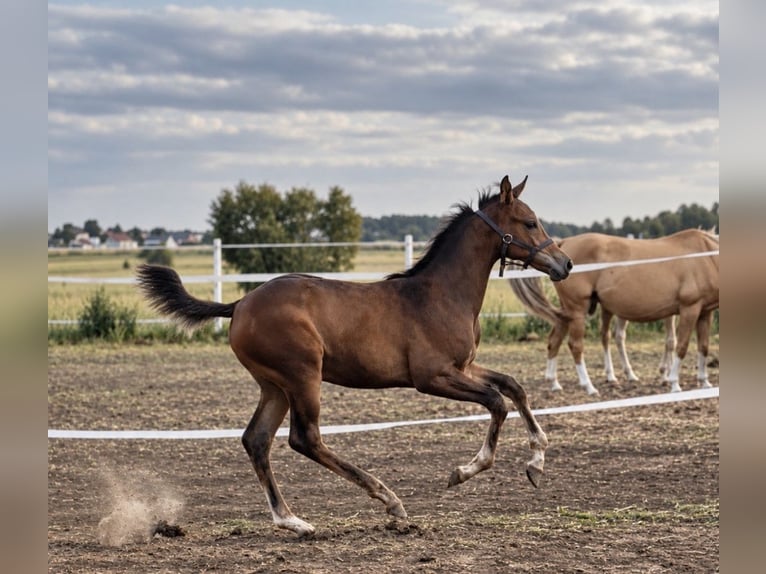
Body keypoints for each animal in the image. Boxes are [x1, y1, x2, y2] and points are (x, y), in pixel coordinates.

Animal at [136, 175, 573, 537]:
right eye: (529, 222)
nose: (565, 263)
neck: (441, 294)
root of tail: (240, 304)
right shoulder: (432, 377)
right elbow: (497, 402)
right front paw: (464, 471)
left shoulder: (464, 366)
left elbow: (513, 388)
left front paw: (536, 464)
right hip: (302, 377)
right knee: (304, 438)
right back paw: (388, 500)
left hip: (274, 386)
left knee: (257, 440)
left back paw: (293, 521)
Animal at [509, 229, 718, 395]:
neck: (705, 256)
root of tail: (564, 244)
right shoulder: (689, 309)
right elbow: (682, 346)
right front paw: (674, 383)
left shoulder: (705, 313)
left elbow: (704, 346)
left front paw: (704, 382)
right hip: (577, 310)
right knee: (575, 345)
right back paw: (588, 386)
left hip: (567, 311)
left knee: (555, 340)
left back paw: (554, 383)